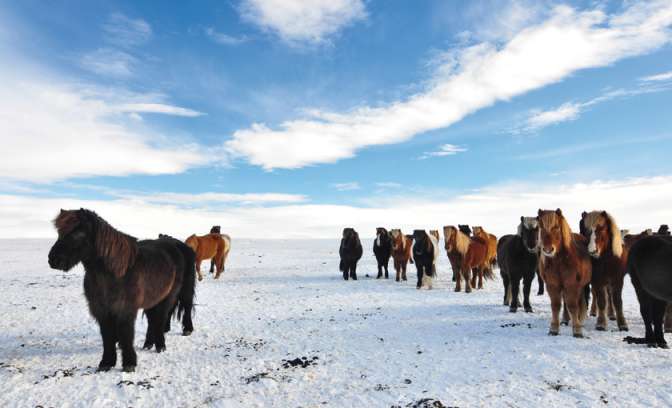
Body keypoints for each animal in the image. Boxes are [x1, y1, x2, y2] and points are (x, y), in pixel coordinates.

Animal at [48, 209, 196, 372]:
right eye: (59, 232)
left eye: (78, 233)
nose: (53, 260)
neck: (116, 272)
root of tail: (176, 244)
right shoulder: (102, 310)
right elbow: (107, 336)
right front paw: (106, 362)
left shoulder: (125, 309)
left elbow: (126, 334)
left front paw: (129, 363)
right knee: (154, 319)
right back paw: (149, 343)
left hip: (176, 293)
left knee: (175, 312)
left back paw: (169, 340)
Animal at [537, 209, 592, 337]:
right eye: (541, 226)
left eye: (556, 227)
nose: (548, 250)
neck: (560, 263)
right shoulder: (553, 285)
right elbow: (556, 305)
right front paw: (554, 329)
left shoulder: (572, 285)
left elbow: (572, 305)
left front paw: (577, 330)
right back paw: (565, 319)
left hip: (582, 285)